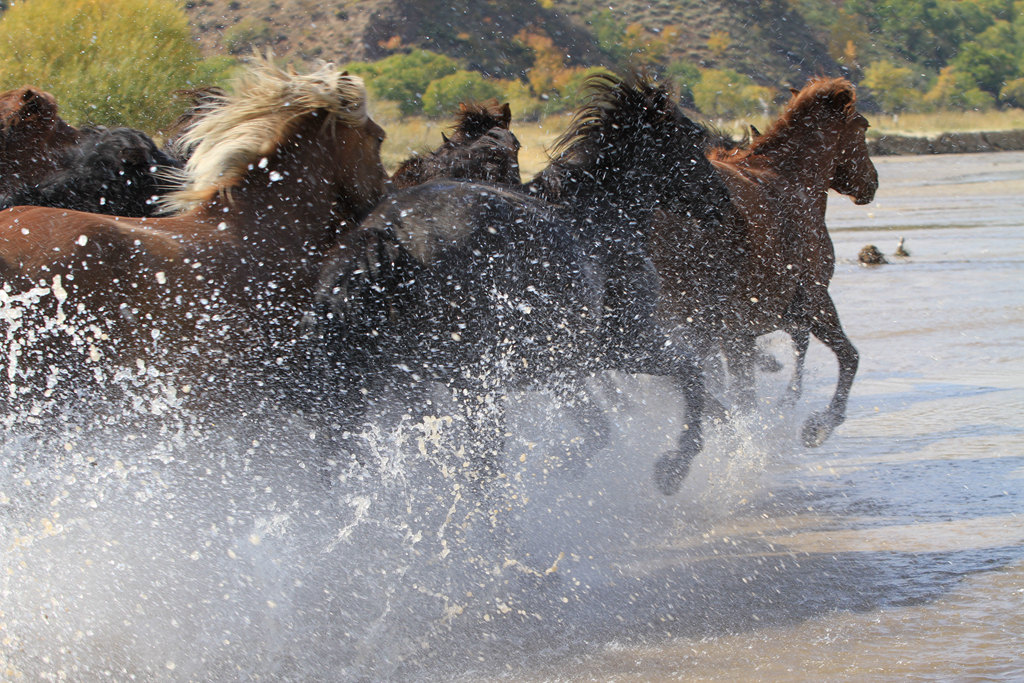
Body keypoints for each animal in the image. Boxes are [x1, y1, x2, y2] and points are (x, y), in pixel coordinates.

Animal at [651, 76, 876, 448]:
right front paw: (819, 425)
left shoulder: (753, 324)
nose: (871, 182)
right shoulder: (813, 299)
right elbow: (848, 356)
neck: (793, 181)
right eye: (863, 126)